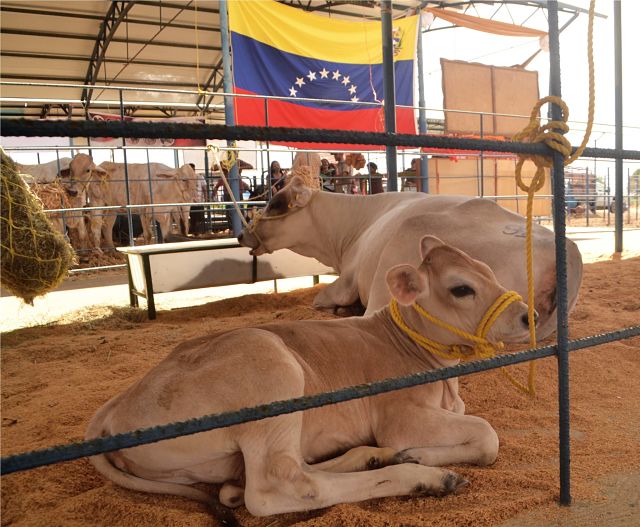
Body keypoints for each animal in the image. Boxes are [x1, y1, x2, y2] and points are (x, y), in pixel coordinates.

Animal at [87, 237, 532, 516]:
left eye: (487, 270)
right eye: (461, 289)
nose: (528, 315)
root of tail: (113, 407)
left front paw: (412, 454)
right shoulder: (401, 417)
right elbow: (488, 435)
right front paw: (420, 457)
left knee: (266, 476)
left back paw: (372, 456)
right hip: (271, 371)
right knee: (282, 487)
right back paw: (425, 478)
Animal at [238, 177, 584, 342]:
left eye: (275, 202)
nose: (242, 235)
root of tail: (569, 249)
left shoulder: (348, 278)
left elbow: (322, 298)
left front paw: (337, 306)